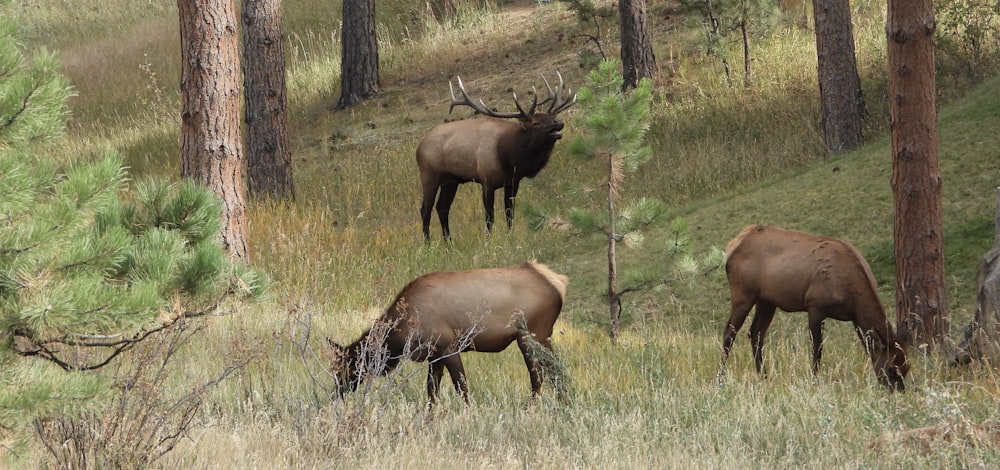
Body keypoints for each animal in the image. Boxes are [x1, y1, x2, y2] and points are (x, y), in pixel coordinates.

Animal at [324, 262, 568, 406]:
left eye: (344, 368)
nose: (334, 396)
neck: (402, 337)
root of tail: (558, 282)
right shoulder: (434, 355)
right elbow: (432, 391)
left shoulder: (448, 346)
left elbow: (461, 386)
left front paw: (469, 412)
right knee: (554, 371)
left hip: (532, 333)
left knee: (543, 373)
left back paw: (535, 406)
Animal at [414, 71, 576, 241]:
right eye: (536, 123)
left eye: (551, 117)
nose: (559, 122)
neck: (509, 158)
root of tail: (419, 146)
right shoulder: (486, 181)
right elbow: (489, 216)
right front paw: (488, 240)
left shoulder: (512, 182)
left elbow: (509, 213)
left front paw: (511, 237)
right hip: (429, 174)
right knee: (425, 209)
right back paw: (428, 243)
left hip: (451, 180)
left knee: (442, 207)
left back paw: (449, 242)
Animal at [716, 226, 912, 392]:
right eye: (891, 368)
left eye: (907, 367)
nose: (898, 391)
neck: (850, 295)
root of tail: (731, 246)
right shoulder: (815, 305)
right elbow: (817, 348)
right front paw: (814, 381)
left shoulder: (855, 318)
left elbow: (866, 346)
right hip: (743, 293)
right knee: (729, 332)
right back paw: (720, 380)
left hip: (767, 300)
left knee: (755, 333)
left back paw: (764, 377)